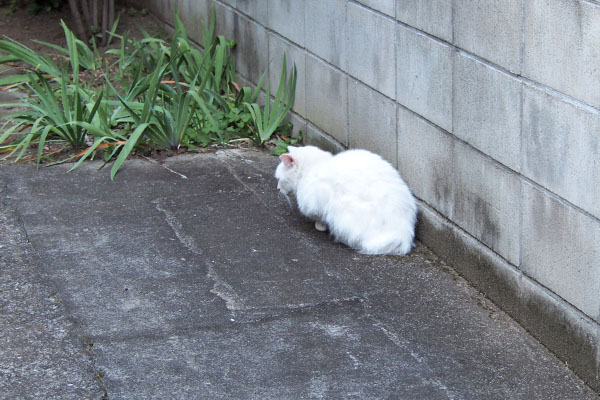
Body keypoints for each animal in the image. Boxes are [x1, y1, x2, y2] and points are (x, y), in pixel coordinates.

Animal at [276, 145, 418, 255]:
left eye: (279, 179)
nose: (277, 189)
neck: (313, 167)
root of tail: (403, 232)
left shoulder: (318, 202)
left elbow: (320, 218)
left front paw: (320, 226)